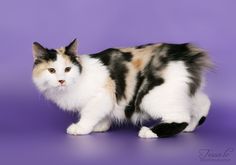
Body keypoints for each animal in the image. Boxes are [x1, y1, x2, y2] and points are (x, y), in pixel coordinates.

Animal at [32, 39, 211, 138]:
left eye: (68, 69)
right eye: (51, 70)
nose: (61, 80)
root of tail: (184, 53)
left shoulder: (102, 96)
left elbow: (89, 114)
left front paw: (82, 128)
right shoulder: (106, 101)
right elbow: (102, 115)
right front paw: (101, 126)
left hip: (152, 97)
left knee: (181, 118)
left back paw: (149, 132)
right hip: (186, 93)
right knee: (204, 103)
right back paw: (190, 128)